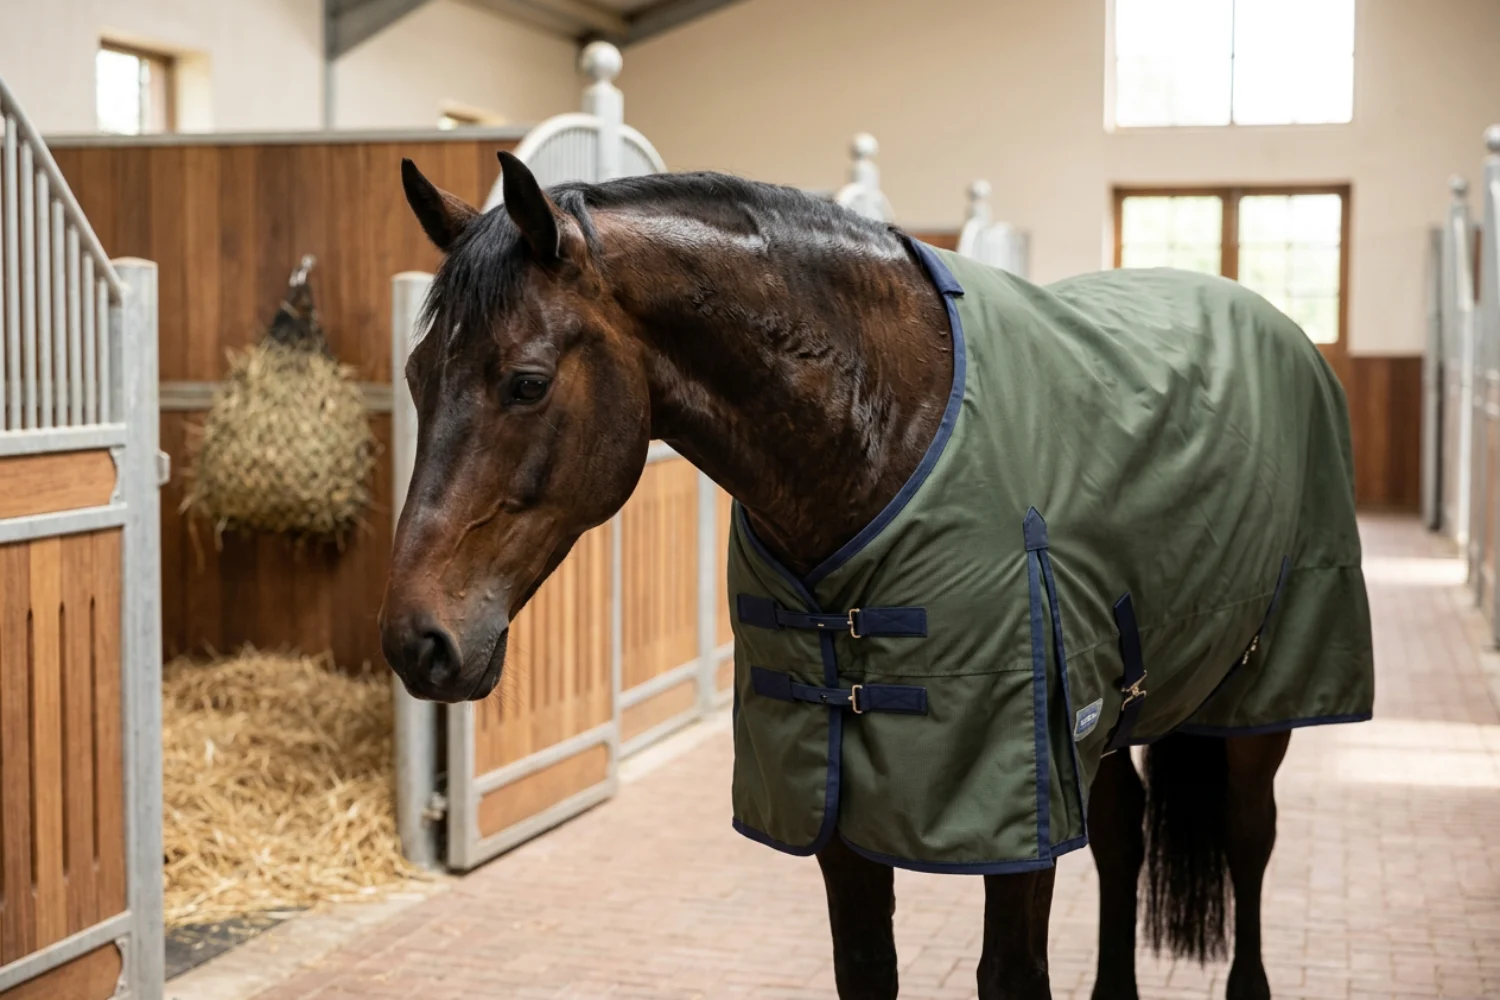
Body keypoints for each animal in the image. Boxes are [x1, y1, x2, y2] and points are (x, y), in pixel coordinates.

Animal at [379, 151, 1372, 1000]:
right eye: (417, 375)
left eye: (527, 382)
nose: (415, 641)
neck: (884, 433)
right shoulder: (837, 801)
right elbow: (866, 966)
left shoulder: (1013, 804)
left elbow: (1012, 975)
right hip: (1111, 709)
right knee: (1124, 834)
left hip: (1258, 697)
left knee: (1248, 838)